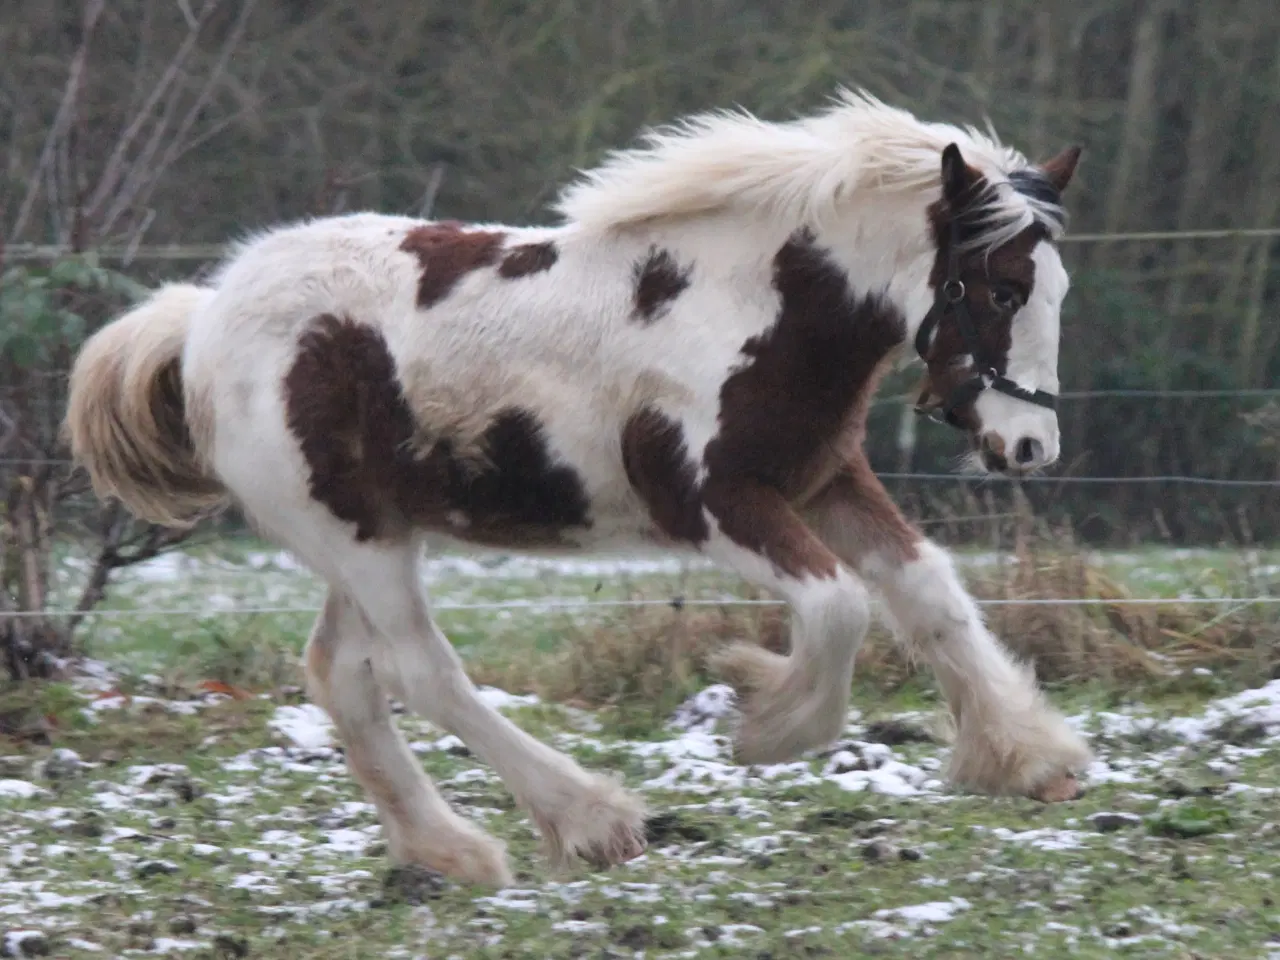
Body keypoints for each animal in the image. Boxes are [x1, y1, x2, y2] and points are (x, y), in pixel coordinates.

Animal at [64, 88, 1090, 885]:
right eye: (1001, 290)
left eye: (1057, 291)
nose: (1030, 445)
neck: (748, 306)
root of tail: (202, 319)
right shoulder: (711, 503)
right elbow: (840, 608)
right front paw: (767, 720)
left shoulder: (824, 481)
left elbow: (928, 592)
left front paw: (1027, 757)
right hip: (353, 535)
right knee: (420, 671)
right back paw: (590, 820)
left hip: (368, 533)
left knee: (342, 672)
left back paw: (449, 852)